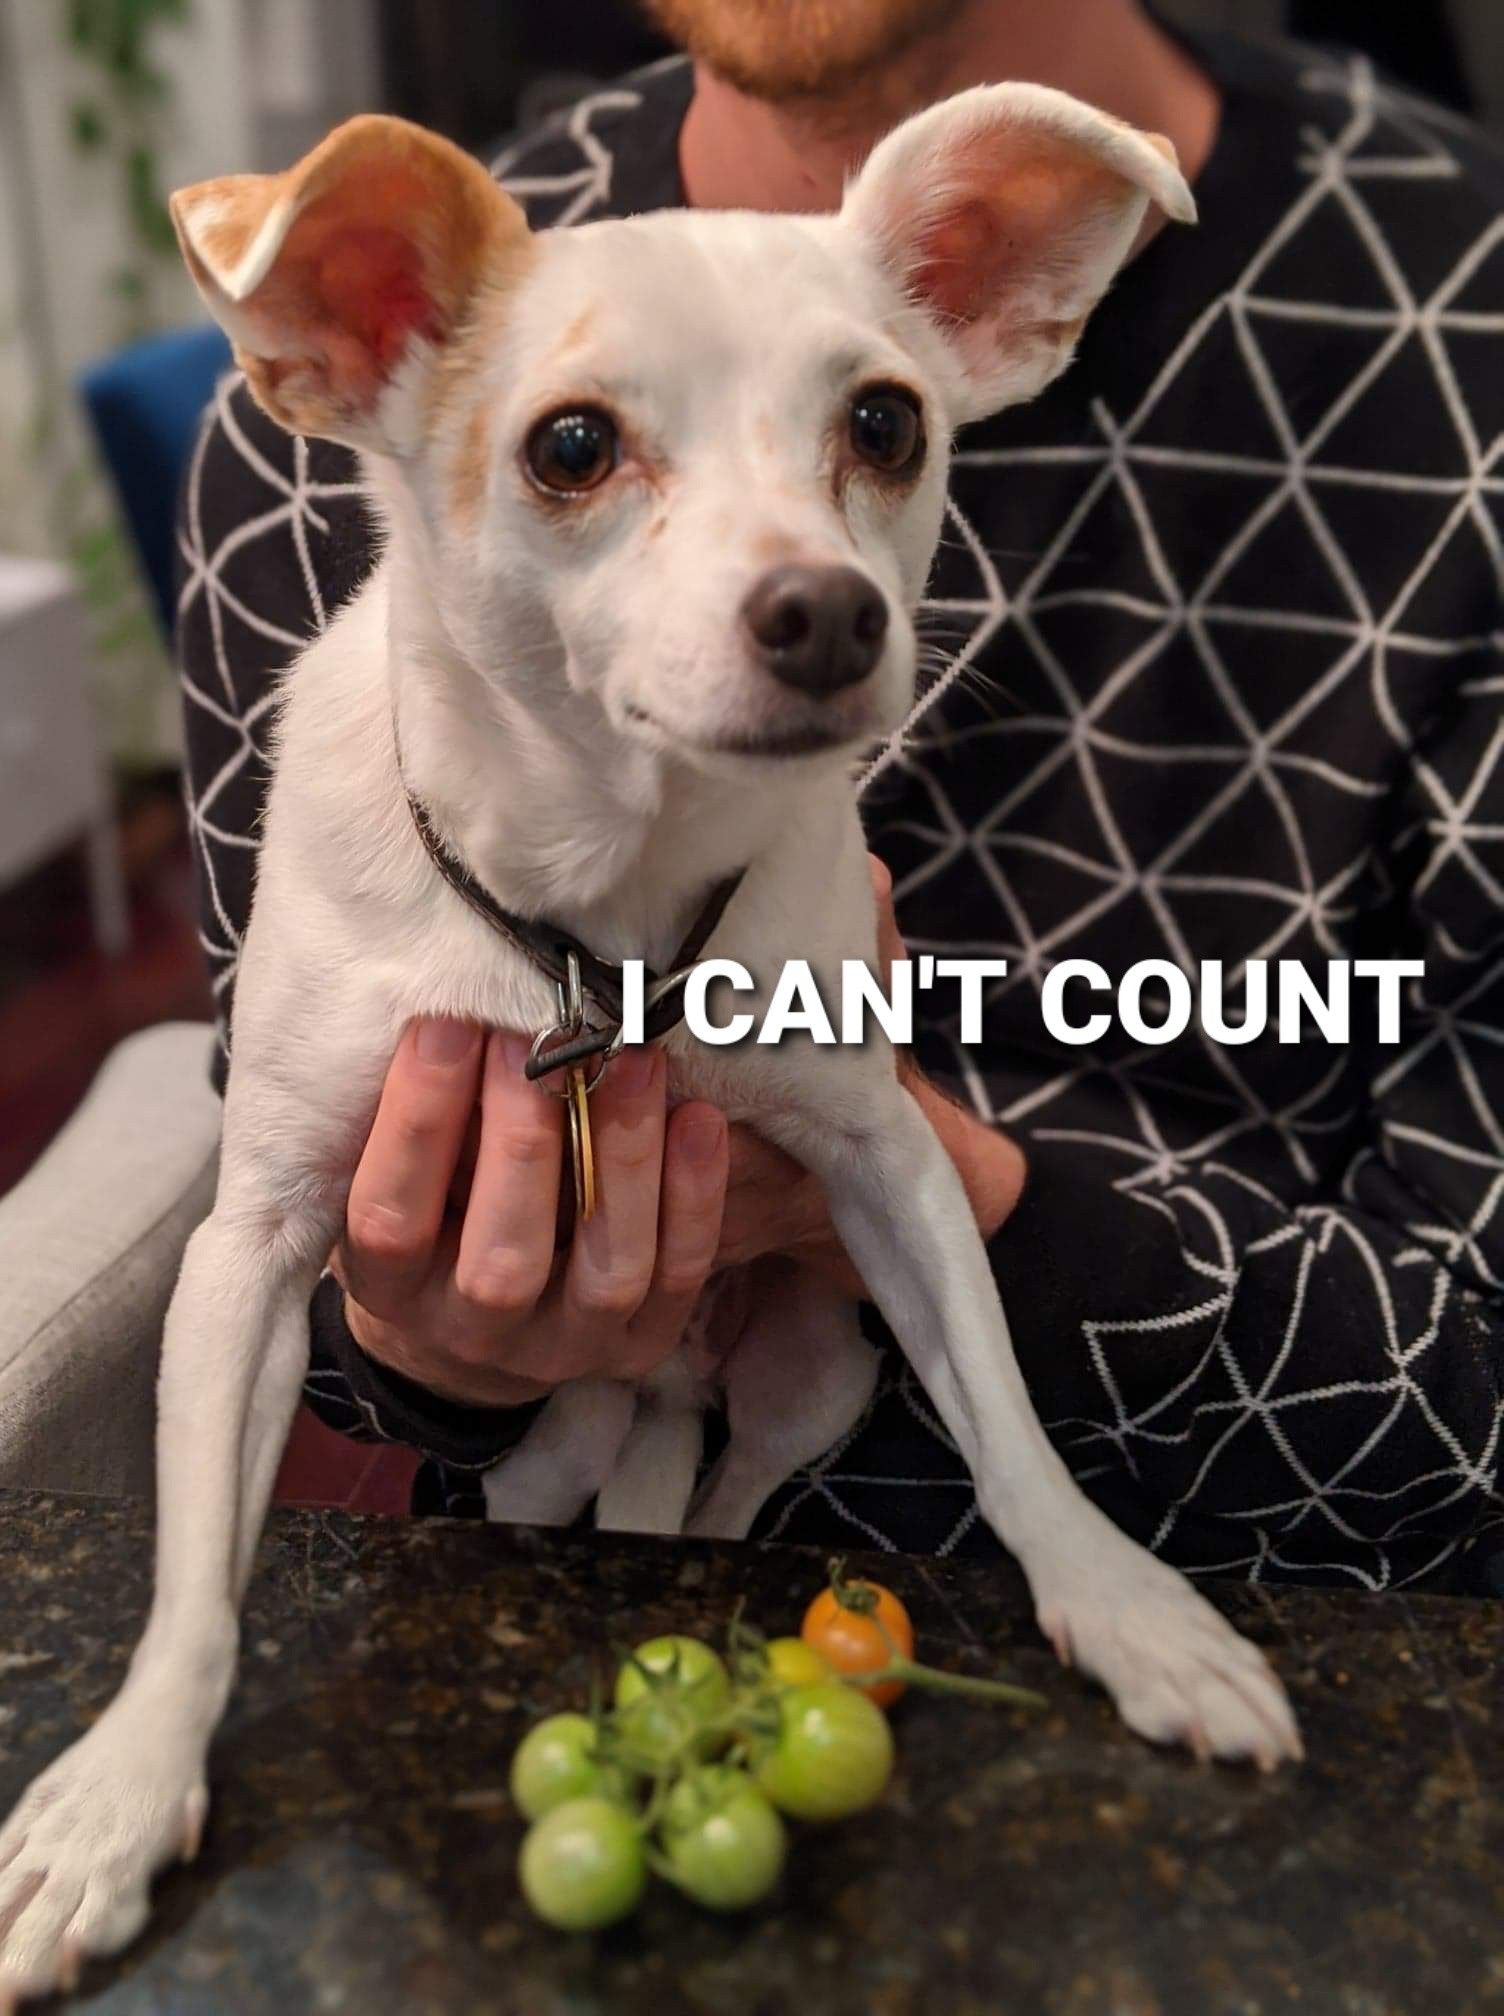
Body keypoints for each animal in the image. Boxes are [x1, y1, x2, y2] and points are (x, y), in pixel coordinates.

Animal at [0, 90, 1298, 1999]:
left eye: (885, 424)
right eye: (568, 448)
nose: (828, 611)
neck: (595, 905)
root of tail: (664, 1376)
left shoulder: (893, 1175)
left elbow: (1006, 1423)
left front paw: (1128, 1607)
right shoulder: (255, 1253)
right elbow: (190, 1582)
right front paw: (116, 1793)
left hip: (815, 1359)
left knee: (732, 1488)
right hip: (551, 1414)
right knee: (566, 1477)